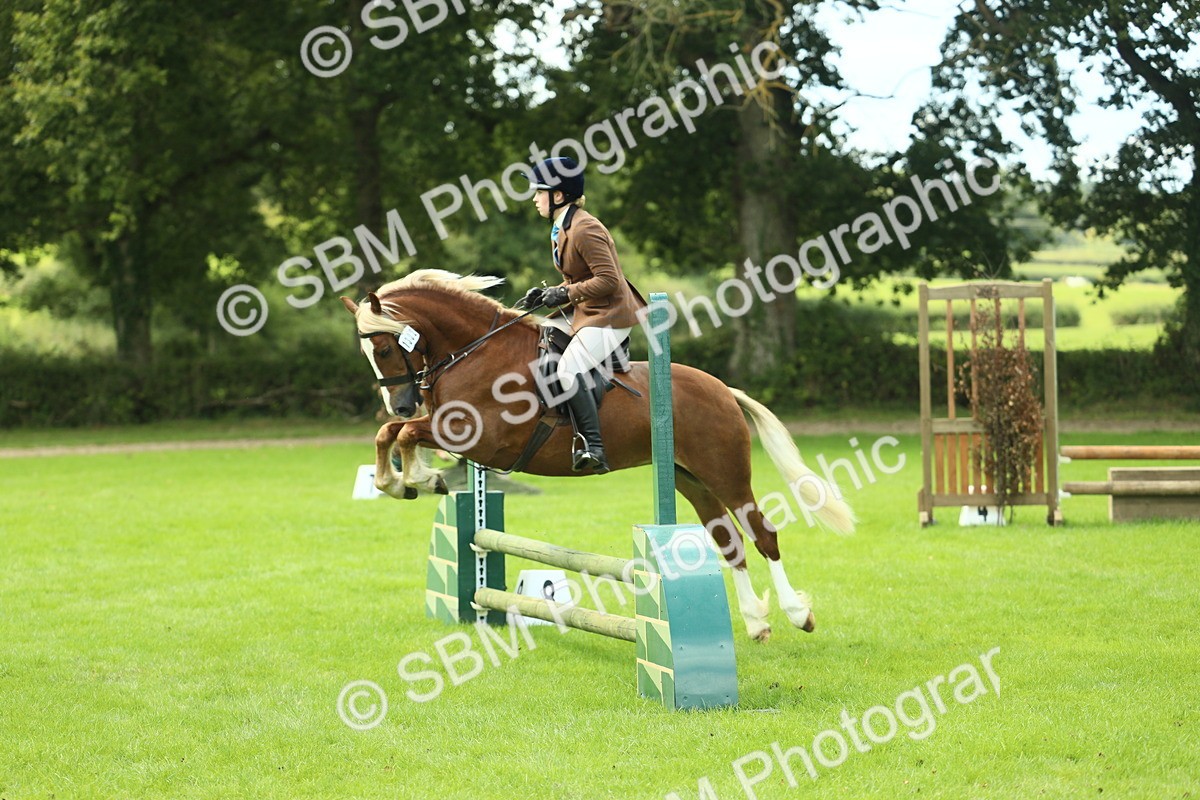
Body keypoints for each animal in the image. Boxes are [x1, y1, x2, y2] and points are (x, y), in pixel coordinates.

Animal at [341, 269, 855, 642]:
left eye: (384, 348)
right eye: (370, 352)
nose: (402, 401)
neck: (477, 353)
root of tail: (724, 390)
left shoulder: (477, 437)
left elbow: (407, 434)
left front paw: (417, 479)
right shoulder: (451, 431)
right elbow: (390, 434)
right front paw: (402, 482)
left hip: (724, 471)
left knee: (761, 533)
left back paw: (798, 614)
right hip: (691, 480)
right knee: (729, 540)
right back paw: (756, 623)